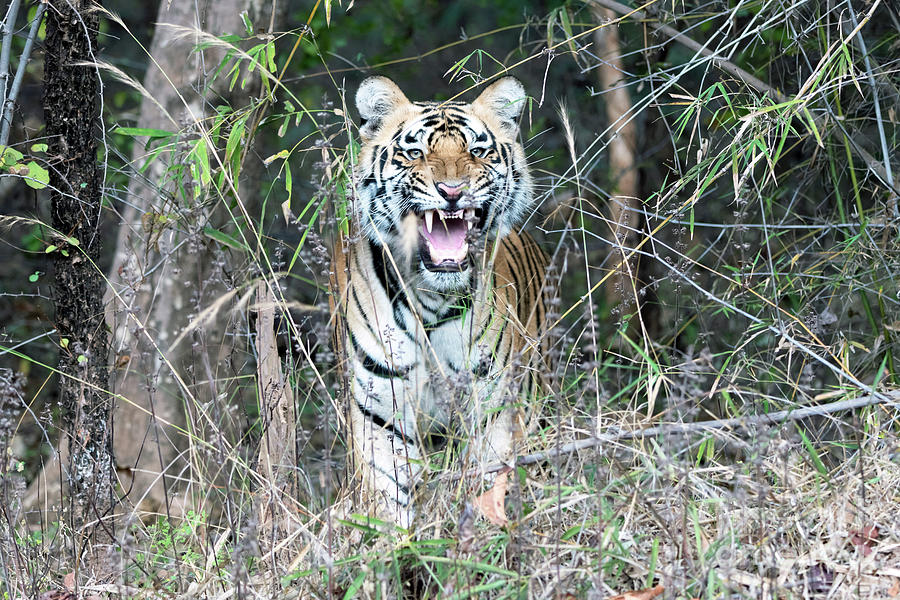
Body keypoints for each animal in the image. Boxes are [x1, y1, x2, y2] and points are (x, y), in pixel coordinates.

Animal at [332, 76, 548, 528]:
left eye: (477, 151)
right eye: (415, 152)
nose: (452, 192)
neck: (432, 297)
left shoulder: (491, 406)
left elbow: (488, 480)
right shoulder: (382, 413)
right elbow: (388, 495)